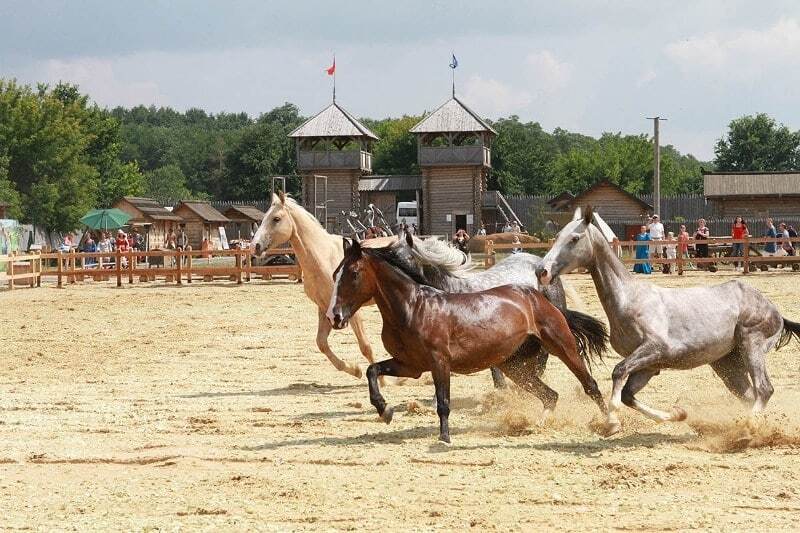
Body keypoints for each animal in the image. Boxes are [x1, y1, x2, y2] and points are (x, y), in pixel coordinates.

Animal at [326, 235, 608, 442]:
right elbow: (372, 371)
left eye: (353, 273)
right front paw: (384, 410)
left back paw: (608, 422)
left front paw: (444, 438)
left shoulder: (439, 362)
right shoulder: (410, 365)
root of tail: (537, 295)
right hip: (513, 365)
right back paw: (536, 424)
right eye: (335, 274)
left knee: (590, 384)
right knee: (549, 395)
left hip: (562, 346)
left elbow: (443, 402)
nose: (334, 316)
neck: (414, 307)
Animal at [536, 206, 800, 434]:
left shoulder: (655, 348)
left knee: (764, 389)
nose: (542, 271)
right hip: (727, 363)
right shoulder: (649, 366)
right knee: (748, 395)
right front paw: (677, 414)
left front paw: (612, 423)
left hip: (751, 344)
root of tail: (775, 311)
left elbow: (618, 372)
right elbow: (628, 396)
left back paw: (748, 428)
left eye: (574, 238)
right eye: (557, 236)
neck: (629, 299)